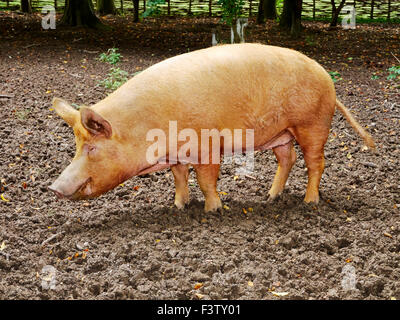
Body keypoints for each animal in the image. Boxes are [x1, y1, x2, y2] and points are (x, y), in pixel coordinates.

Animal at [49, 42, 376, 212]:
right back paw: (270, 197)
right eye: (77, 146)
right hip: (282, 133)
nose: (53, 187)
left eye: (92, 148)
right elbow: (180, 178)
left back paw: (309, 202)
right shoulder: (176, 156)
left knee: (316, 162)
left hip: (312, 124)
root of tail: (328, 79)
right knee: (289, 158)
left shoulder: (207, 147)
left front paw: (213, 210)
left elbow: (206, 181)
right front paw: (179, 207)